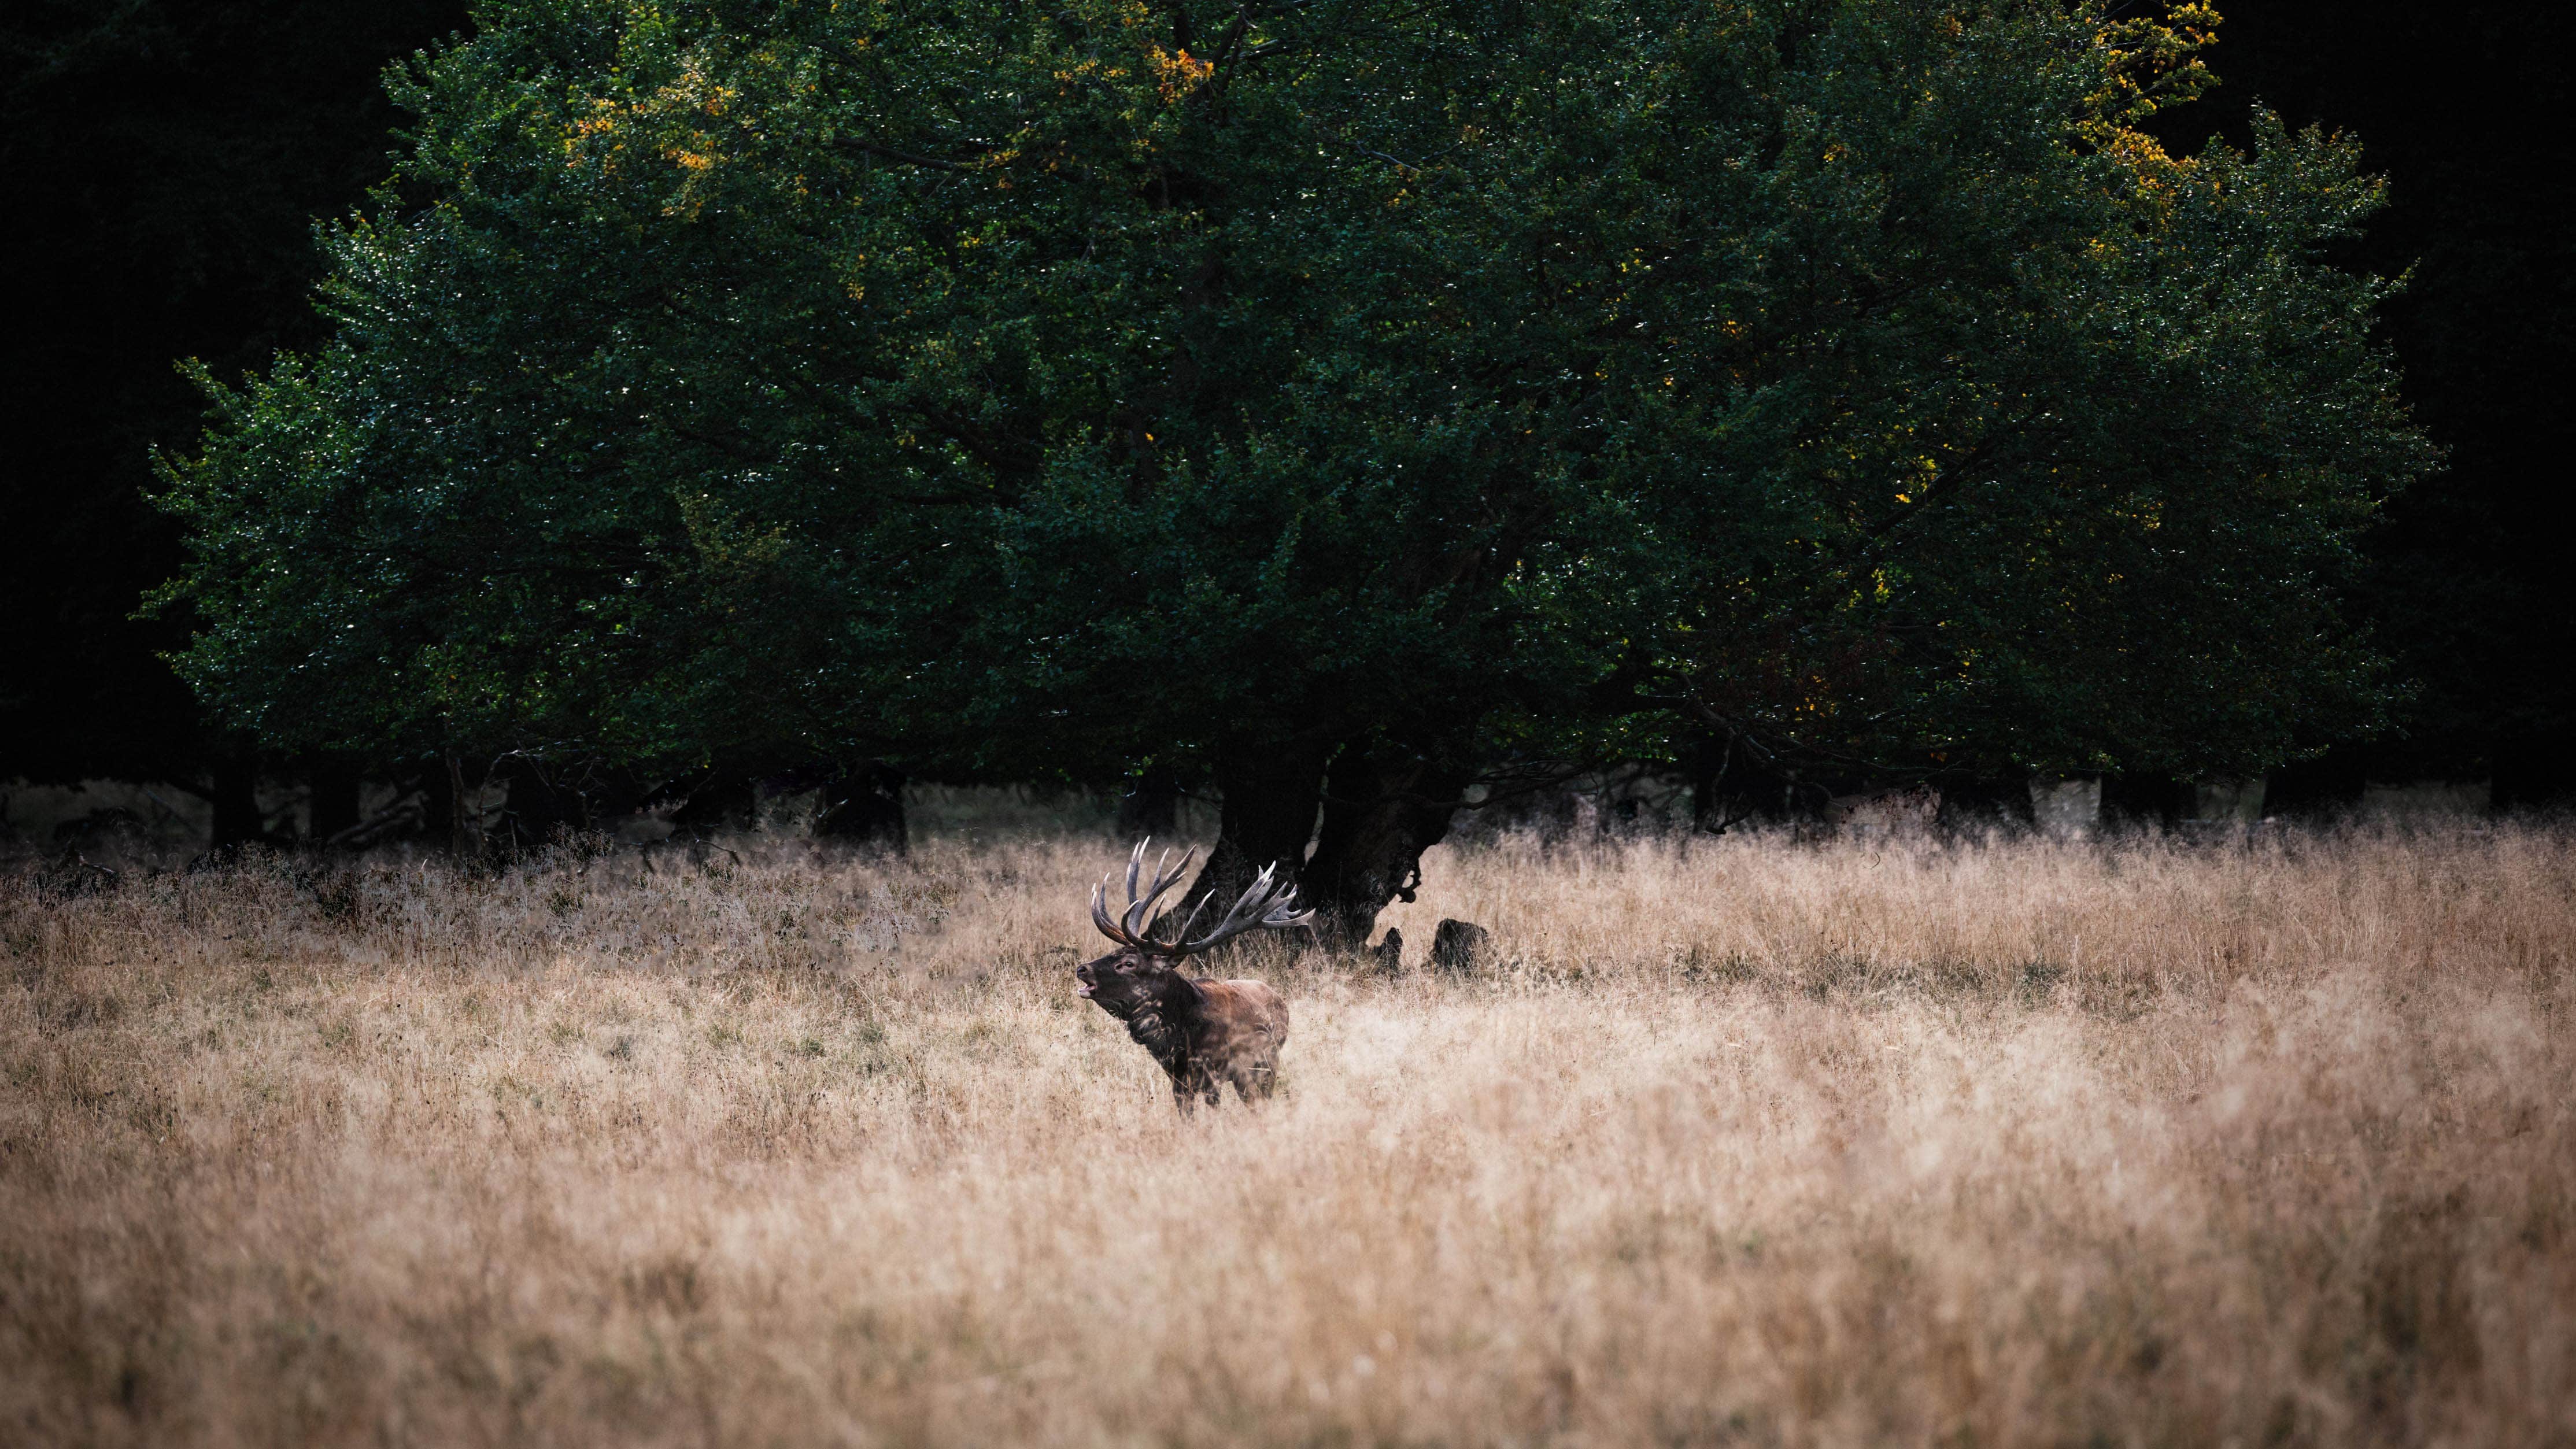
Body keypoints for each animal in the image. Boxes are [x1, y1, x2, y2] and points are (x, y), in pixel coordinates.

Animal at [1075, 839, 1303, 1112]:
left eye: (1128, 963)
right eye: (1113, 952)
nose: (1082, 969)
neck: (1182, 1039)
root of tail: (1279, 999)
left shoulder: (1215, 1072)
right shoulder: (1177, 1078)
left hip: (1265, 1063)